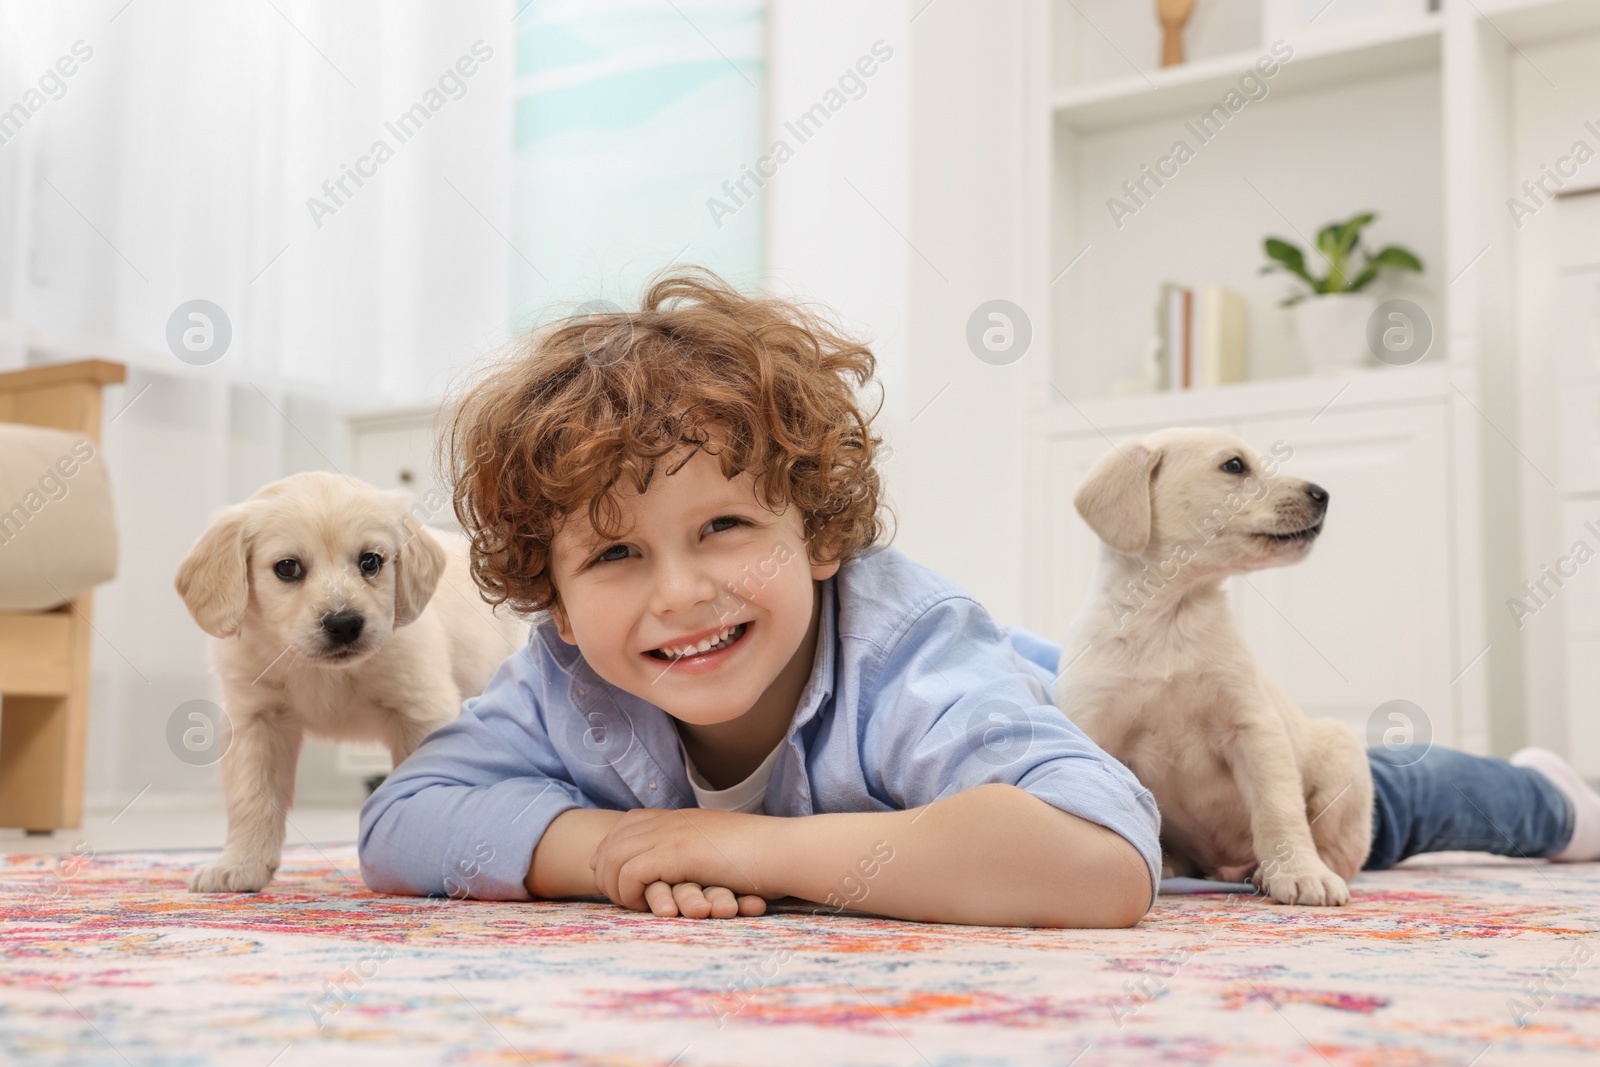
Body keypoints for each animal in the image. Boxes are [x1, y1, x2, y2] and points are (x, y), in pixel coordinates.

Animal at [176, 473, 528, 895]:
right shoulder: (255, 720)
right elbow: (252, 797)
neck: (322, 672)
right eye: (287, 568)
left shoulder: (420, 710)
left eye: (370, 561)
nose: (343, 623)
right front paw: (241, 865)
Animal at [1056, 428, 1369, 908]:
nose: (1322, 494)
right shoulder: (1094, 727)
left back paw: (1286, 871)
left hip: (1342, 751)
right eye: (1234, 466)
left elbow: (1279, 809)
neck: (1170, 619)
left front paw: (1299, 873)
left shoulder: (1254, 728)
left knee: (1341, 852)